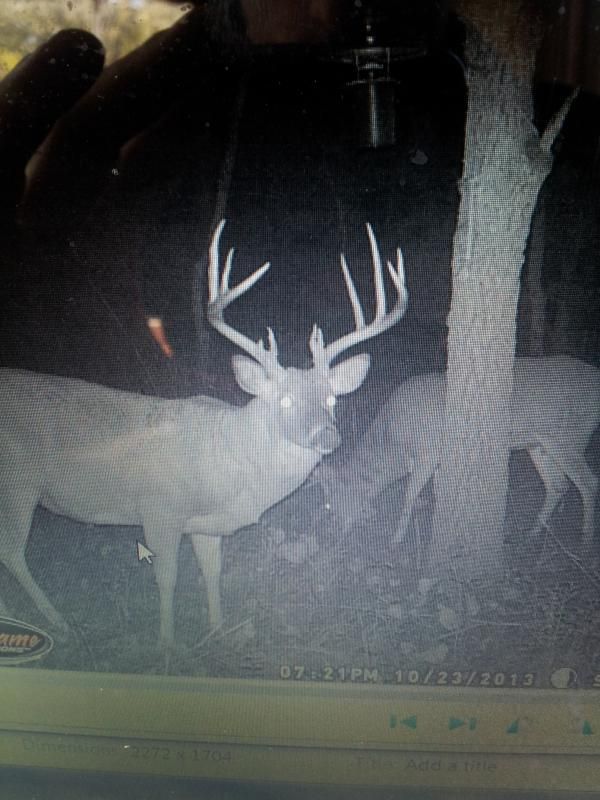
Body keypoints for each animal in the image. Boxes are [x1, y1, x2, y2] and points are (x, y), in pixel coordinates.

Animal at [0, 220, 407, 647]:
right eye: (284, 401)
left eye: (330, 398)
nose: (326, 435)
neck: (228, 468)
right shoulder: (159, 510)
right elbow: (167, 579)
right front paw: (166, 643)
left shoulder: (205, 526)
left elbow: (212, 573)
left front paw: (217, 630)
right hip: (17, 483)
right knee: (11, 551)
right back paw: (55, 620)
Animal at [319, 358, 600, 549]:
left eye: (331, 504)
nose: (330, 535)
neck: (395, 444)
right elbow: (440, 492)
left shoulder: (429, 452)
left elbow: (410, 495)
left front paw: (395, 540)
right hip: (539, 444)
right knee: (558, 484)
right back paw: (531, 535)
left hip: (569, 436)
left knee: (588, 482)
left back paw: (585, 541)